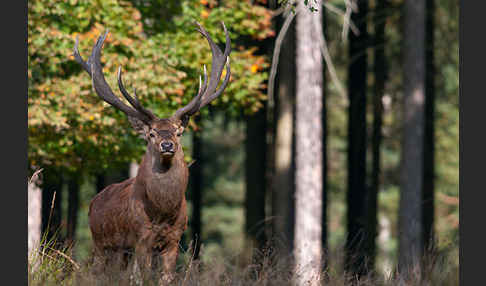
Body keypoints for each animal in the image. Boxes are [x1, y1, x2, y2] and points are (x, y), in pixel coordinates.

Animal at [72, 21, 232, 280]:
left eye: (178, 131)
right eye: (152, 134)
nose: (167, 145)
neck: (163, 213)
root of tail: (94, 201)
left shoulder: (175, 239)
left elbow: (167, 277)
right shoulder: (141, 237)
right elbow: (143, 277)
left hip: (120, 252)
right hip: (101, 244)